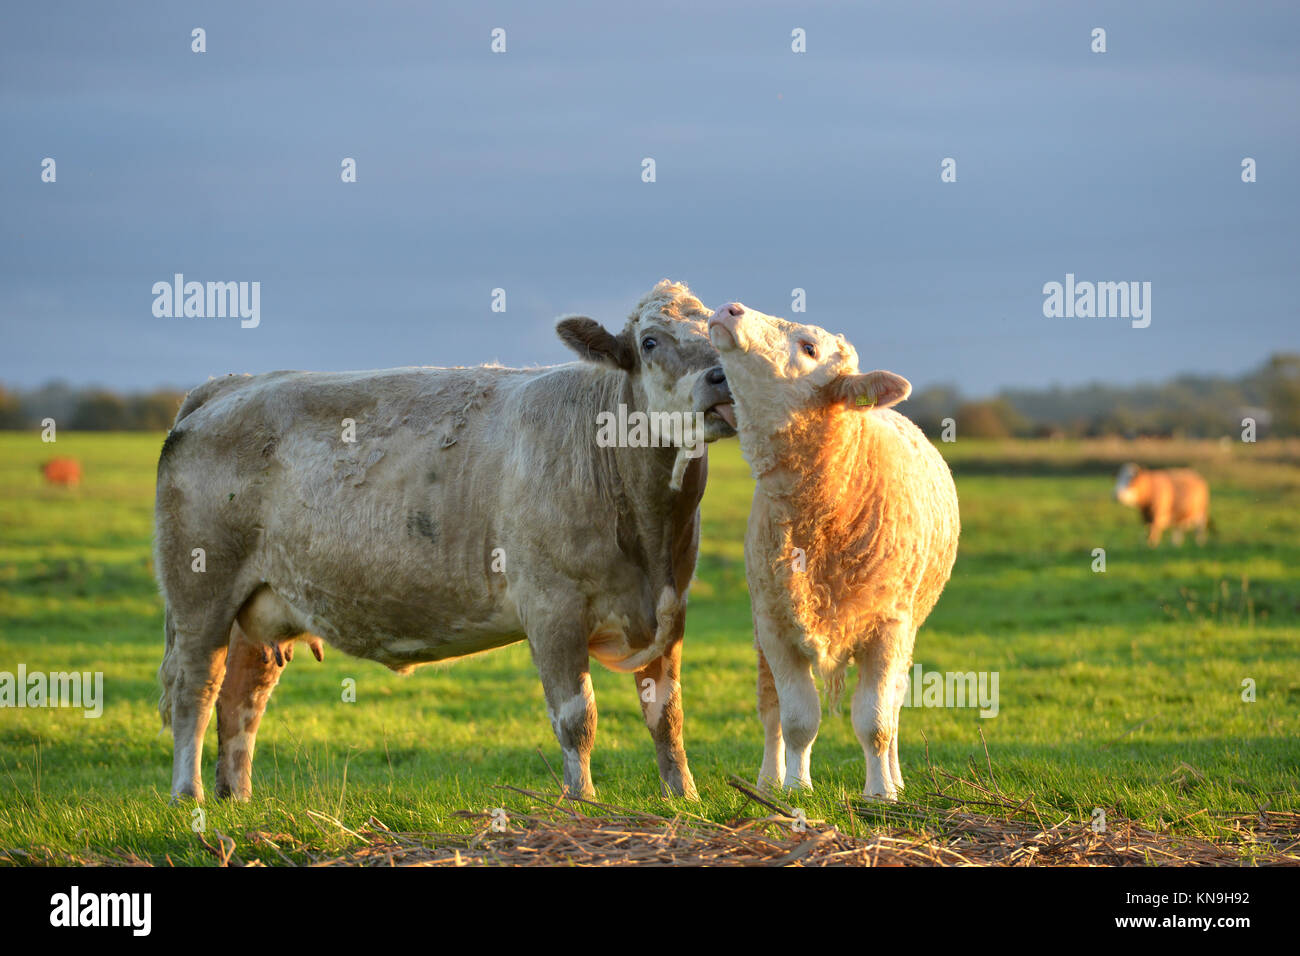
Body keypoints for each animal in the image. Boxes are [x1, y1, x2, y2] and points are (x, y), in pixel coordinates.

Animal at [154, 280, 733, 806]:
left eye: (719, 331)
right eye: (651, 341)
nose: (722, 376)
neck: (648, 529)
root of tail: (228, 385)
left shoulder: (670, 607)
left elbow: (667, 715)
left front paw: (684, 797)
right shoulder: (552, 607)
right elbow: (577, 718)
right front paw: (583, 801)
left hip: (259, 605)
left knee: (241, 699)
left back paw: (237, 799)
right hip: (199, 593)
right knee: (195, 691)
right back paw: (188, 796)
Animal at [707, 303, 961, 806]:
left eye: (809, 348)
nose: (730, 309)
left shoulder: (889, 627)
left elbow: (875, 721)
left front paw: (881, 794)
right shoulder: (775, 627)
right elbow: (797, 719)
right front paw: (794, 788)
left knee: (894, 706)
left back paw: (896, 777)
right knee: (770, 711)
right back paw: (767, 781)